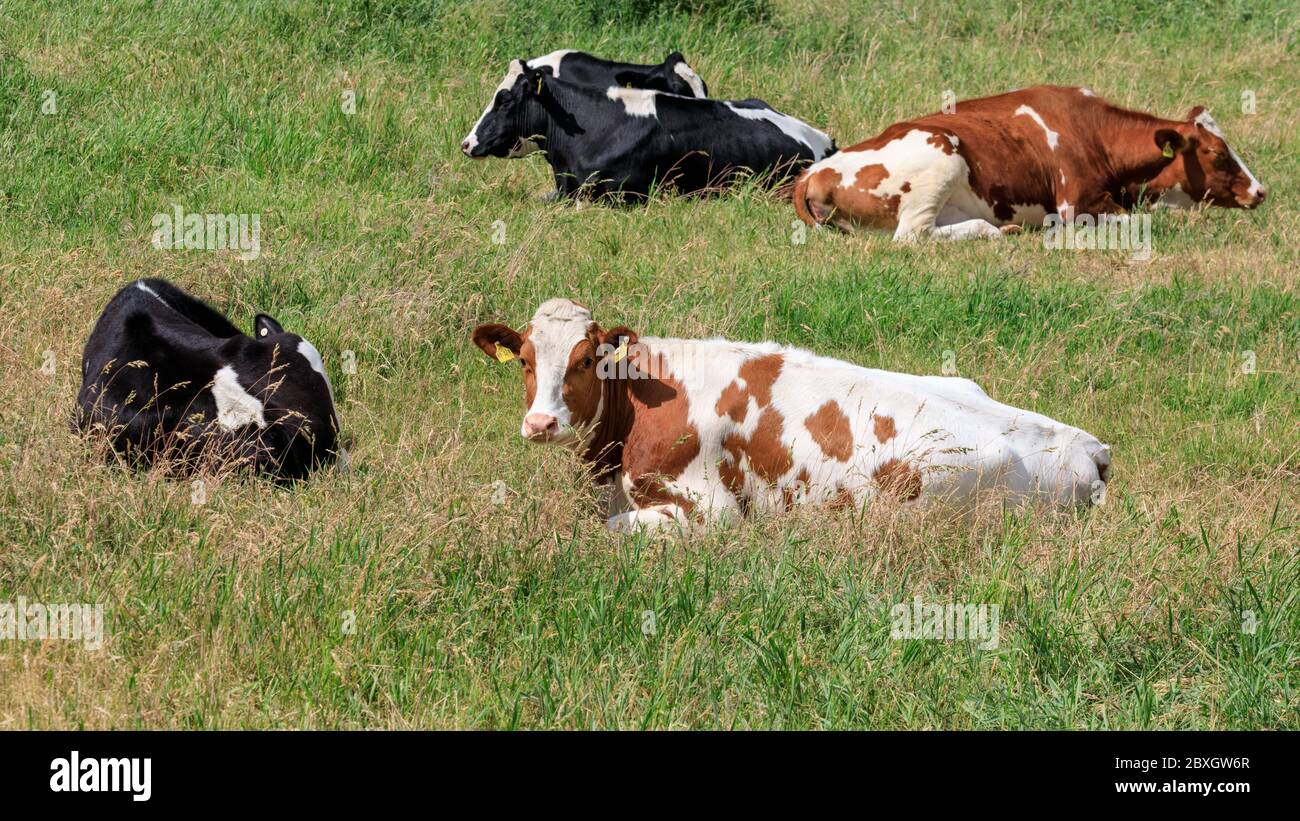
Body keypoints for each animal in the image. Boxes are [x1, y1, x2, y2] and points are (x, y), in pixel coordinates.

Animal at [793, 85, 1265, 240]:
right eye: (1217, 153)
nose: (1260, 191)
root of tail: (814, 171)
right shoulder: (1079, 205)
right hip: (941, 156)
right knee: (911, 237)